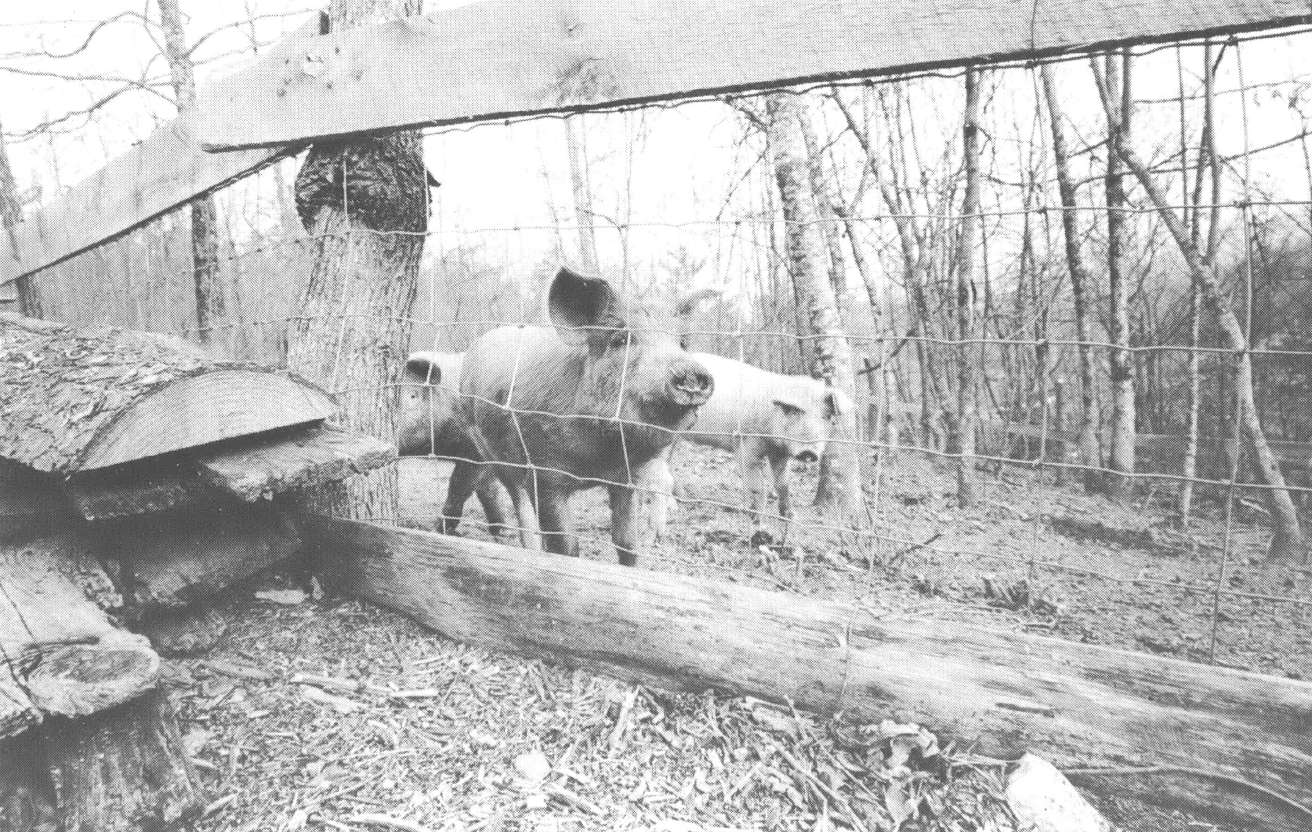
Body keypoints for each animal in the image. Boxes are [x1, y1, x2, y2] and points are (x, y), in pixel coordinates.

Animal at [393, 351, 506, 538]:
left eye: (413, 395)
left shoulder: (476, 452)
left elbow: (460, 486)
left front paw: (439, 531)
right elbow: (488, 490)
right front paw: (500, 532)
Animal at [456, 265, 713, 564]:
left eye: (682, 343)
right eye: (620, 339)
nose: (690, 370)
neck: (601, 458)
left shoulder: (625, 477)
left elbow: (626, 543)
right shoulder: (544, 475)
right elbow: (566, 546)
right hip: (491, 452)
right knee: (521, 507)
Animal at [676, 349, 850, 530]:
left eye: (826, 416)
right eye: (794, 412)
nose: (808, 452)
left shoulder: (780, 454)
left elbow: (783, 483)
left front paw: (791, 517)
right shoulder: (746, 444)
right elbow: (758, 485)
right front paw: (758, 522)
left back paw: (683, 496)